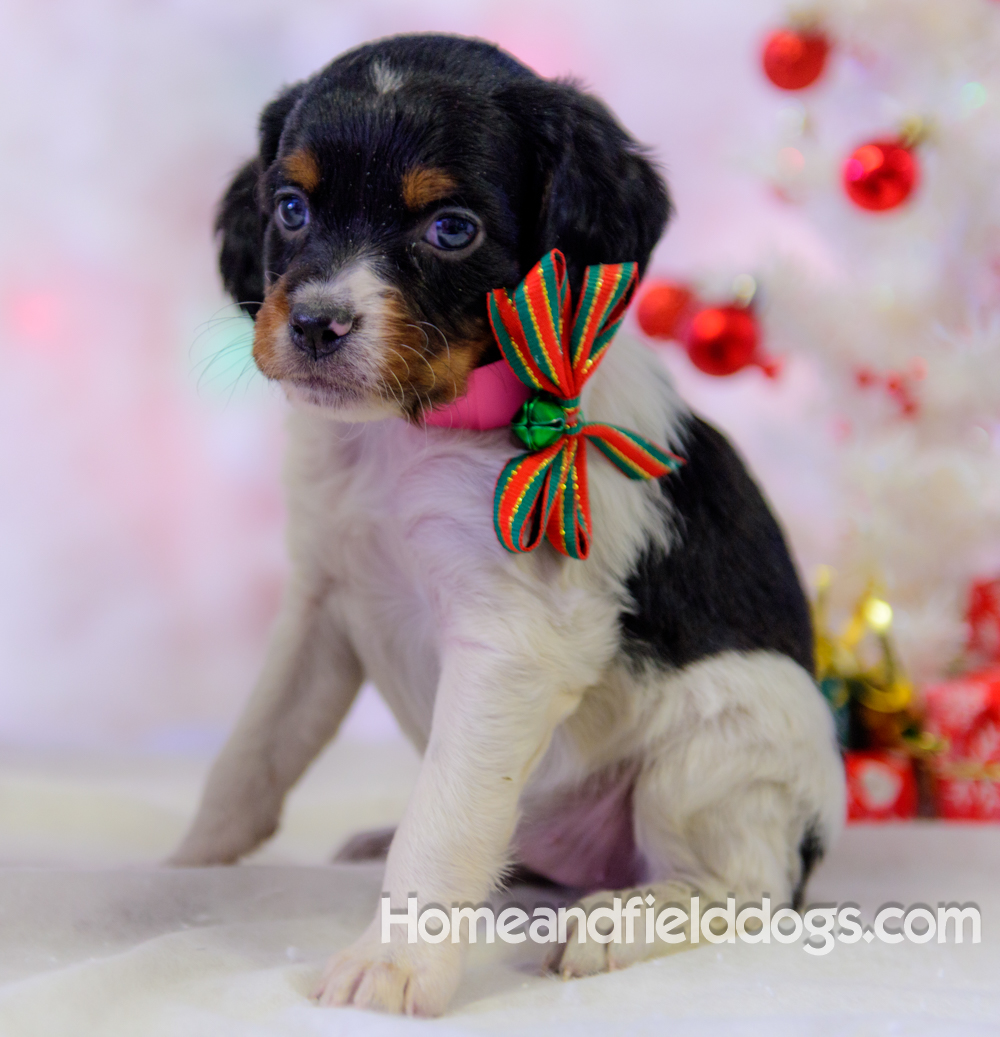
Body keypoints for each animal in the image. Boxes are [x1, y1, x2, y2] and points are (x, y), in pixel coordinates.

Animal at [172, 34, 842, 1020]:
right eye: (290, 208)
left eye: (452, 229)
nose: (316, 324)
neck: (409, 436)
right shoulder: (323, 601)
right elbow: (255, 750)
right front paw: (190, 863)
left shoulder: (512, 644)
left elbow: (446, 817)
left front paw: (394, 963)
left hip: (723, 740)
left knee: (750, 885)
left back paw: (626, 919)